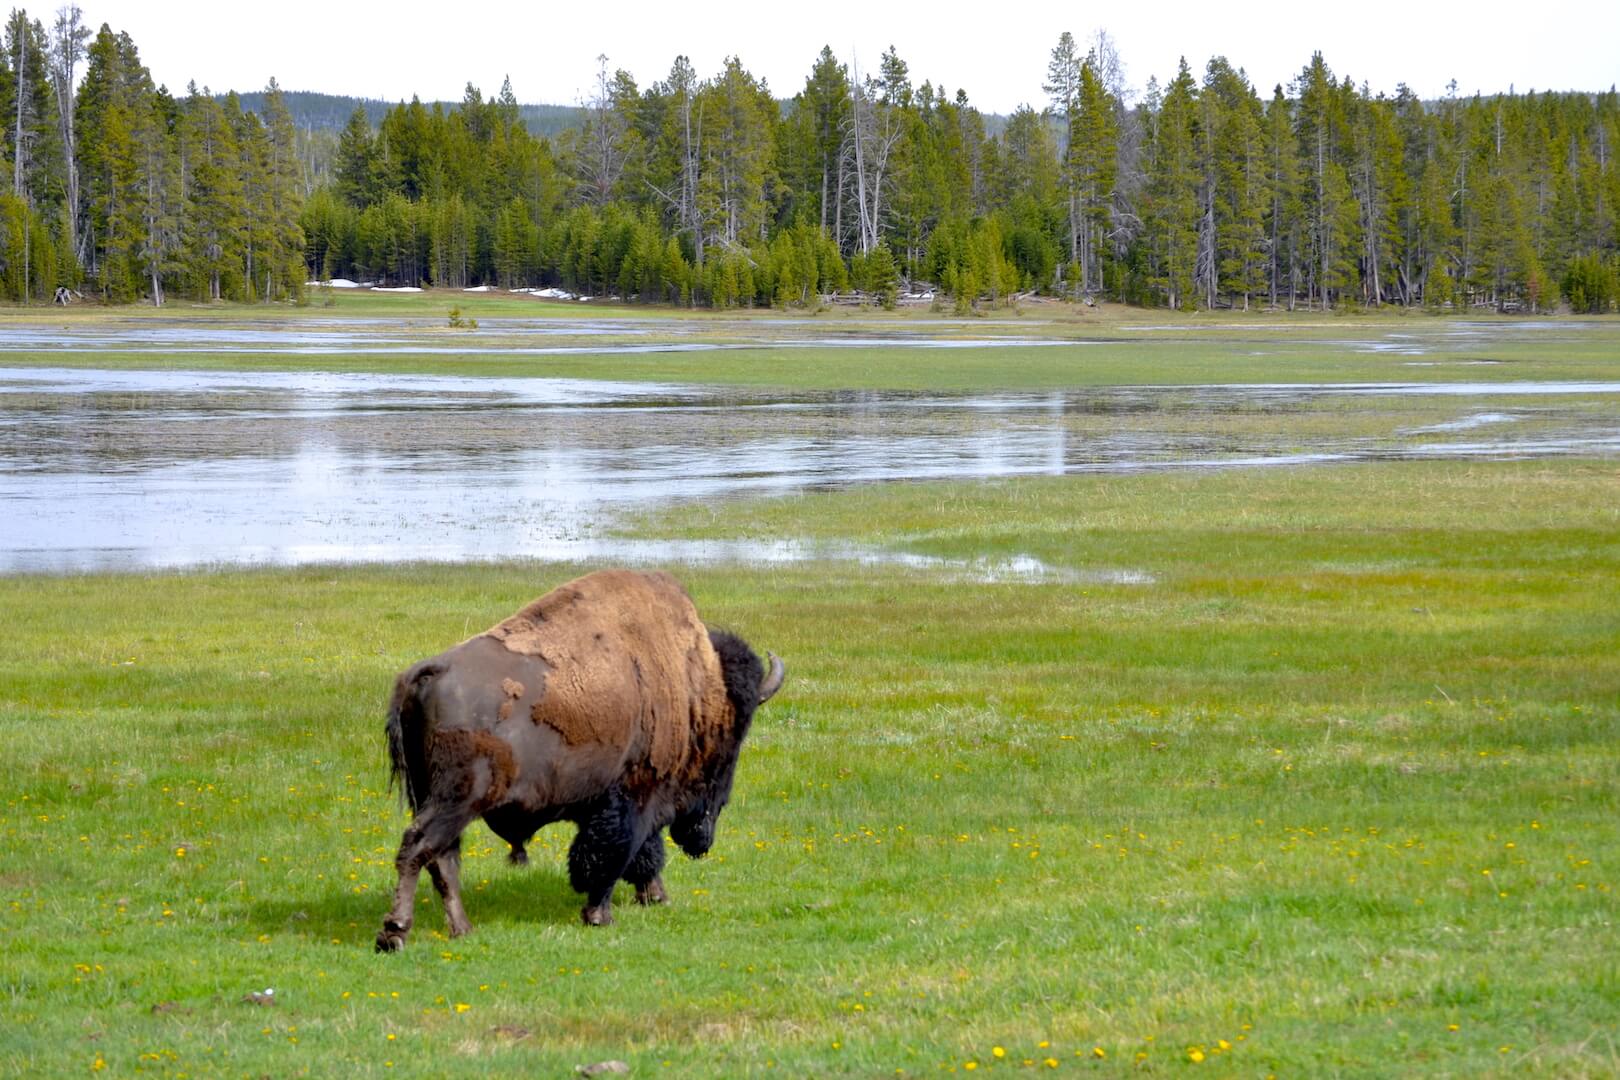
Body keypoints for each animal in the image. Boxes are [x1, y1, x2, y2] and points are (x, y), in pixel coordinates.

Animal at [379, 569, 784, 952]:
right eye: (734, 734)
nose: (701, 839)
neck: (693, 690)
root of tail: (428, 673)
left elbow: (638, 853)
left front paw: (653, 897)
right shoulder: (636, 797)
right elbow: (614, 855)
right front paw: (601, 916)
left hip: (432, 797)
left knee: (443, 858)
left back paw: (462, 929)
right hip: (458, 799)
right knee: (419, 847)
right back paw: (394, 933)